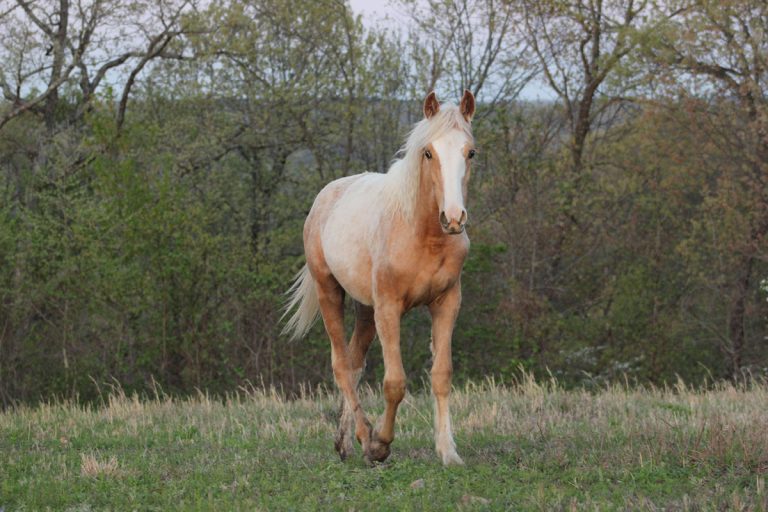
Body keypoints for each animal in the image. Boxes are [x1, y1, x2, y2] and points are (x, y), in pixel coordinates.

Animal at [283, 90, 476, 466]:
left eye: (470, 152)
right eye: (427, 152)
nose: (453, 218)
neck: (422, 234)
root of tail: (325, 197)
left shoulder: (447, 303)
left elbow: (441, 375)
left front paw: (448, 452)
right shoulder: (388, 308)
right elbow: (394, 383)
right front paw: (381, 444)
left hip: (364, 309)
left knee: (355, 363)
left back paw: (344, 443)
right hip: (330, 292)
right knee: (342, 365)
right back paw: (364, 438)